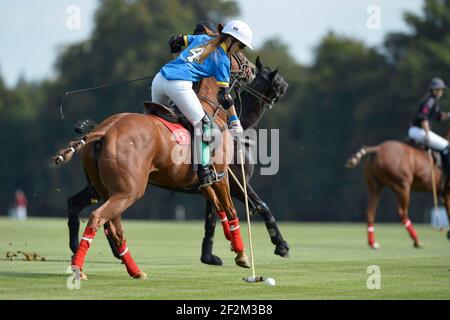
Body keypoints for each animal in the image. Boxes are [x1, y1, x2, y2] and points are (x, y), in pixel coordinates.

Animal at [54, 51, 255, 278]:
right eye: (238, 54)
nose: (252, 69)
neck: (210, 108)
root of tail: (104, 131)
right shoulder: (220, 175)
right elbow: (230, 211)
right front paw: (241, 254)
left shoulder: (202, 181)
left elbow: (219, 208)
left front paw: (230, 245)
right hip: (128, 191)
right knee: (98, 218)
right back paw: (79, 269)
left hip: (108, 191)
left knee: (114, 228)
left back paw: (135, 270)